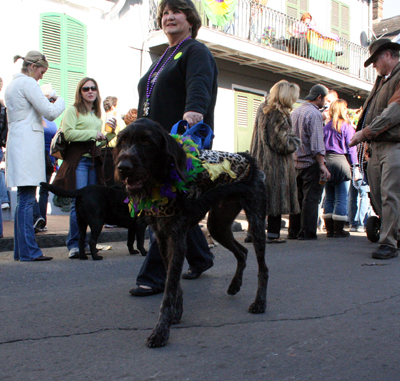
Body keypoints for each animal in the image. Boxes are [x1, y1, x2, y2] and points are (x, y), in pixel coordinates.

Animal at [113, 119, 268, 348]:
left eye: (146, 141)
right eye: (122, 141)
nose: (123, 168)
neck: (162, 179)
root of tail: (248, 159)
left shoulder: (177, 238)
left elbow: (169, 289)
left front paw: (161, 331)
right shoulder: (163, 237)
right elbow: (173, 283)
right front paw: (175, 314)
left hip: (256, 222)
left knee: (262, 268)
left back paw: (259, 302)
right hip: (217, 225)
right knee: (242, 252)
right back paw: (234, 285)